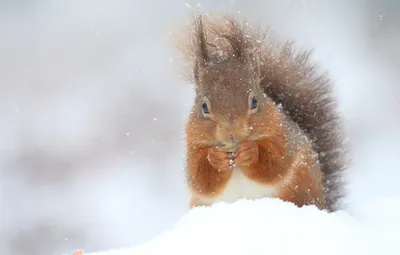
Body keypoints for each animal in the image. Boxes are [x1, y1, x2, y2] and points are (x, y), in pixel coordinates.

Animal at [173, 12, 348, 211]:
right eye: (203, 107)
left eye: (255, 101)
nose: (232, 133)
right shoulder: (193, 145)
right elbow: (199, 178)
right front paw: (215, 157)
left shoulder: (283, 135)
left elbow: (276, 162)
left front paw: (251, 151)